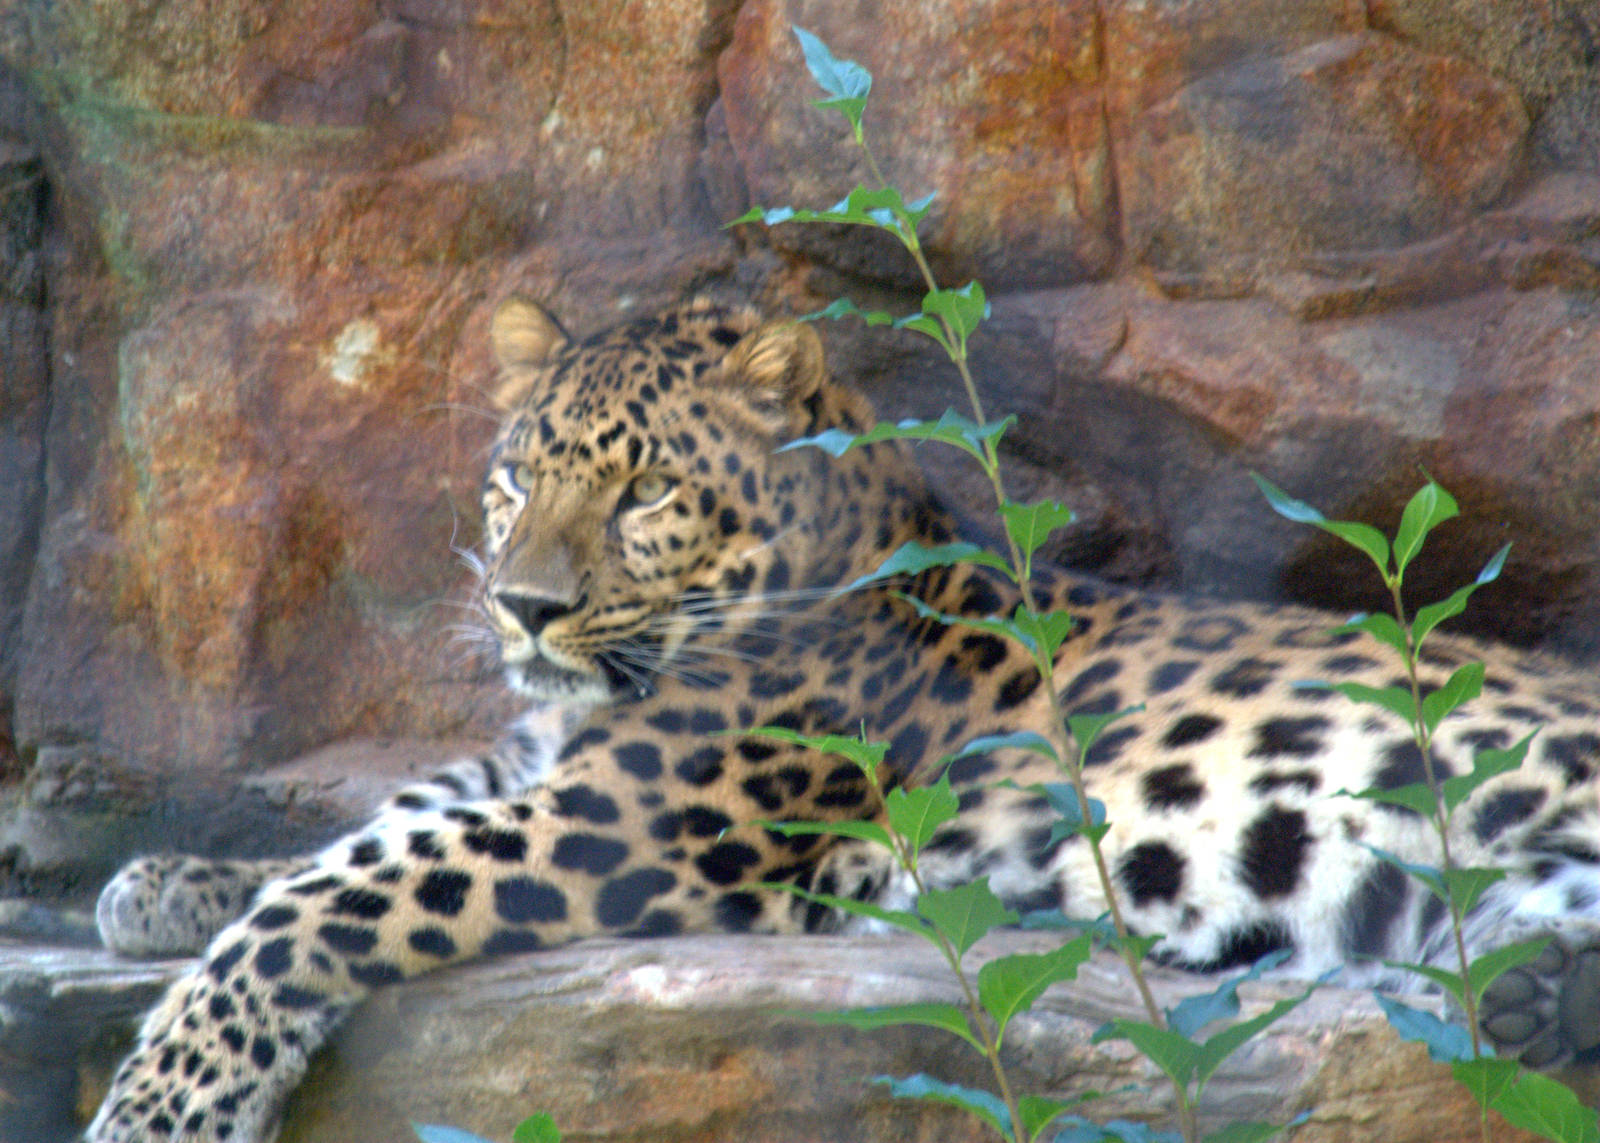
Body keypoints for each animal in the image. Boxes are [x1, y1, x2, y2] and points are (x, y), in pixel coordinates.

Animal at [88, 295, 1600, 1142]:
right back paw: (1531, 986)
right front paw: (161, 882)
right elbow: (359, 827)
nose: (522, 608)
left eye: (646, 493)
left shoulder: (621, 830)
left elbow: (331, 895)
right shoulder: (545, 768)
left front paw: (163, 1102)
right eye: (516, 477)